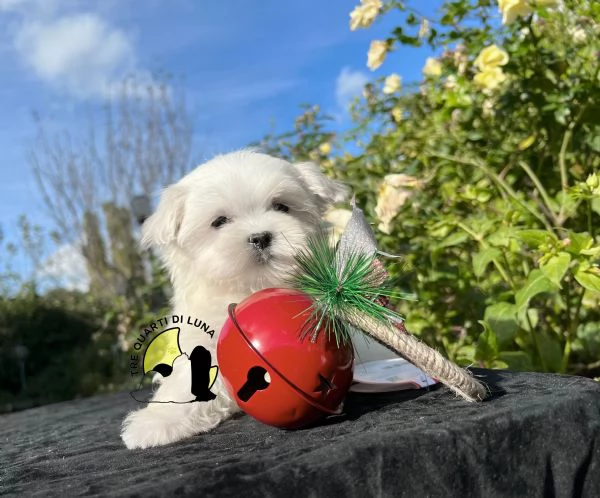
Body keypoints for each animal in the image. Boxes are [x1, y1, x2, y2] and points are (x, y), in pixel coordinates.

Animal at [120, 150, 346, 450]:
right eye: (219, 221)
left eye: (281, 207)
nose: (260, 237)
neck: (251, 288)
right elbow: (188, 377)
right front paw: (159, 421)